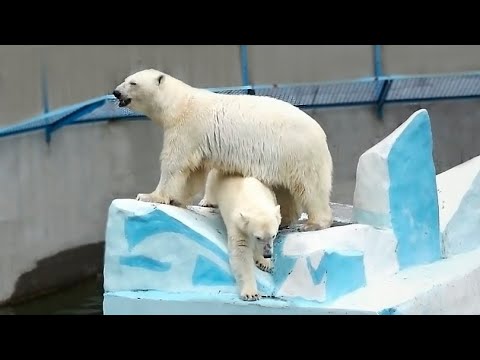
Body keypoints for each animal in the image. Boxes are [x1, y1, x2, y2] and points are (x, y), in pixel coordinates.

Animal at [113, 68, 334, 231]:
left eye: (133, 83)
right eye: (125, 79)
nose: (116, 92)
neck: (179, 105)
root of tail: (321, 135)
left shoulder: (188, 127)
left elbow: (175, 163)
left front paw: (150, 196)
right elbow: (194, 171)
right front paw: (178, 199)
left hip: (297, 151)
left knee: (310, 187)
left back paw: (314, 223)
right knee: (285, 189)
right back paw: (284, 220)